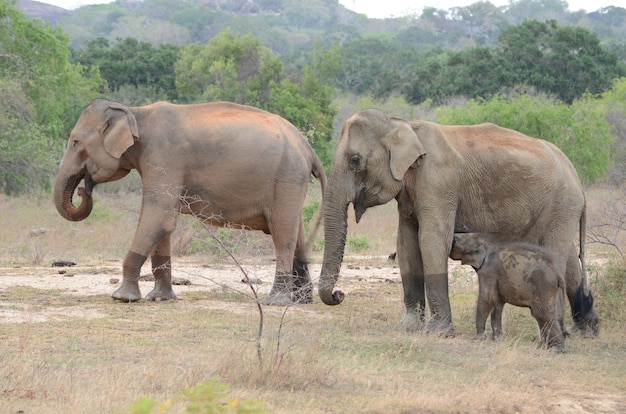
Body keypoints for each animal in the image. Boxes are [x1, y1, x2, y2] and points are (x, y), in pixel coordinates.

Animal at [54, 97, 326, 304]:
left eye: (75, 142)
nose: (84, 188)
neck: (135, 112)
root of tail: (308, 148)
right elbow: (163, 224)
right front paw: (159, 298)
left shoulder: (164, 158)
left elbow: (158, 216)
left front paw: (121, 297)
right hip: (291, 182)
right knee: (296, 232)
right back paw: (302, 301)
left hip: (287, 176)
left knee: (282, 233)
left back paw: (275, 302)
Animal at [320, 108, 596, 338]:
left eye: (355, 160)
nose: (339, 294)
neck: (403, 124)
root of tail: (577, 180)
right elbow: (407, 245)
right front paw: (407, 328)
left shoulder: (438, 183)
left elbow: (432, 241)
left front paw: (438, 333)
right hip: (560, 209)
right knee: (569, 260)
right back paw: (586, 331)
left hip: (562, 204)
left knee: (556, 254)